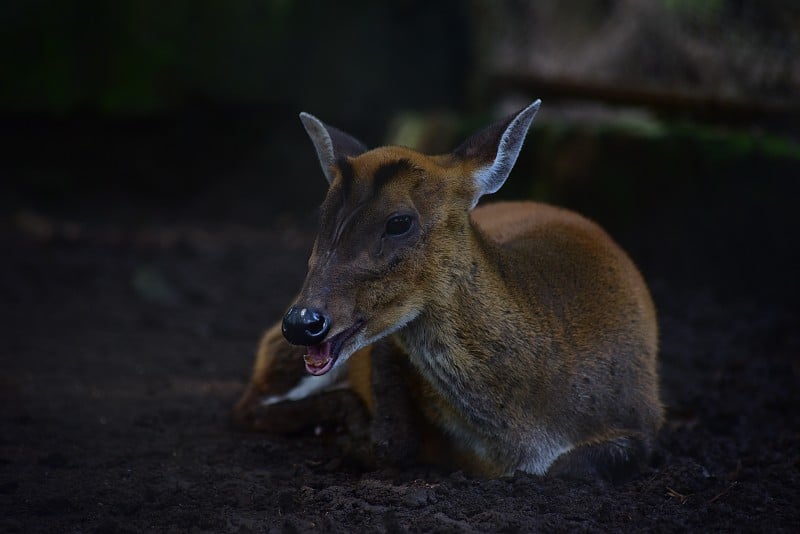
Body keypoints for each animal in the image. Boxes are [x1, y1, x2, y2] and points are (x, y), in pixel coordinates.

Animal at [236, 102, 664, 484]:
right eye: (322, 217)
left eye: (399, 222)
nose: (302, 322)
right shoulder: (389, 344)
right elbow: (394, 441)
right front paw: (352, 436)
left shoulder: (644, 417)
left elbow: (583, 464)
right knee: (247, 405)